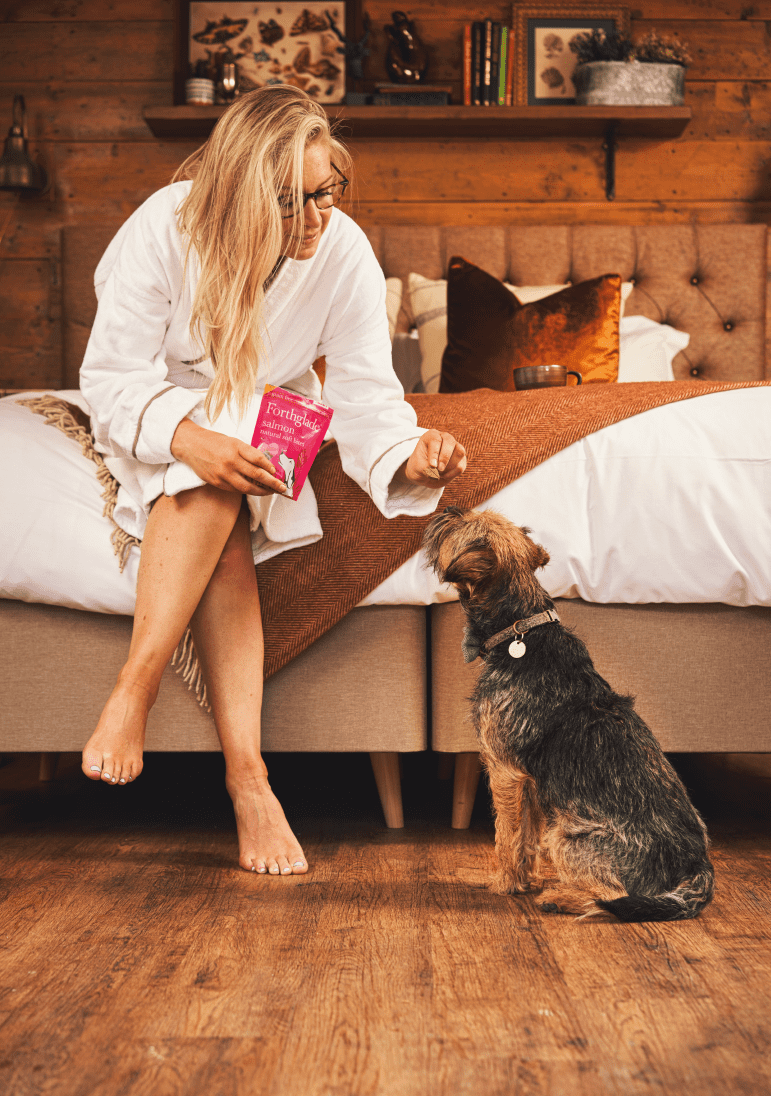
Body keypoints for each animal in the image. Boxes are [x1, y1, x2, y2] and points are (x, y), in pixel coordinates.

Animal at [425, 508, 715, 920]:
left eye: (462, 526)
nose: (445, 510)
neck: (522, 630)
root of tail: (698, 868)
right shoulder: (529, 782)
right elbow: (526, 836)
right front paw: (525, 880)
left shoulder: (504, 772)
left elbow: (507, 835)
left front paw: (504, 884)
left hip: (565, 836)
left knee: (611, 897)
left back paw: (561, 897)